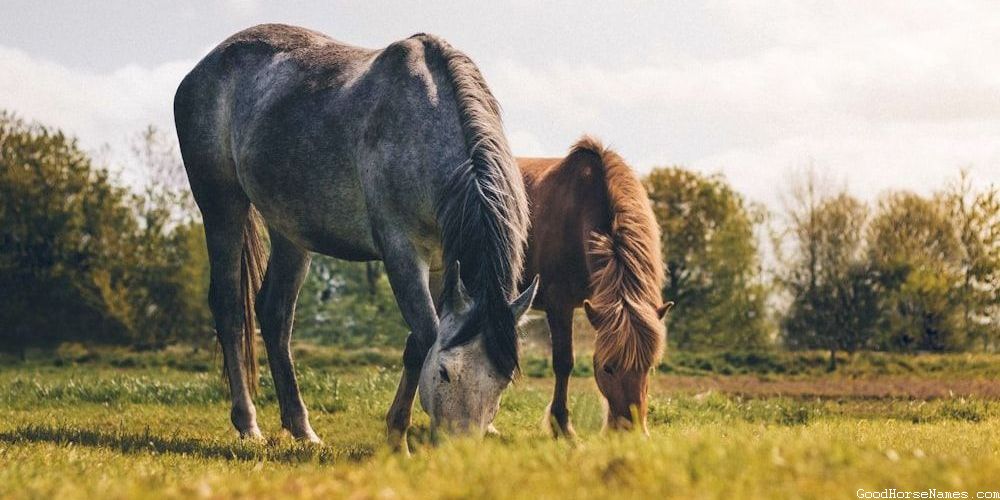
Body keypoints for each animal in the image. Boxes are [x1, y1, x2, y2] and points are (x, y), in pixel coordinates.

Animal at [173, 24, 537, 452]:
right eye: (446, 373)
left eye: (502, 381)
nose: (459, 450)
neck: (425, 124)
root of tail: (203, 68)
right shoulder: (401, 252)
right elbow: (425, 336)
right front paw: (398, 439)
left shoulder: (442, 263)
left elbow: (417, 343)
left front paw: (396, 432)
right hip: (222, 207)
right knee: (230, 308)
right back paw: (248, 424)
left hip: (290, 231)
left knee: (275, 315)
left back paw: (301, 428)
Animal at [518, 137, 672, 435]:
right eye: (607, 368)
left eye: (648, 367)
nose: (631, 431)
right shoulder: (558, 302)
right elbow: (564, 362)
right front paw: (562, 427)